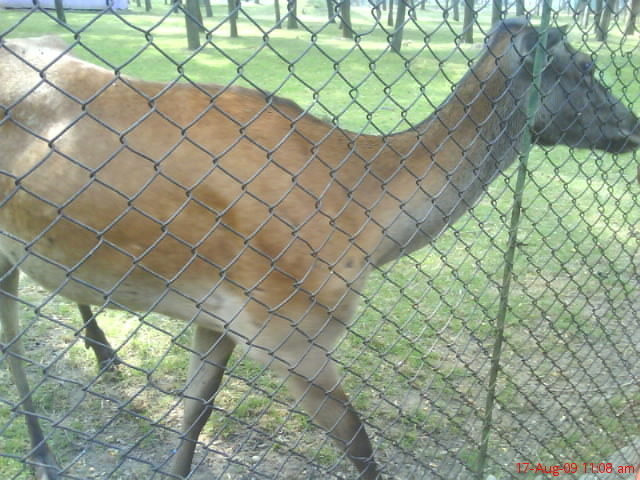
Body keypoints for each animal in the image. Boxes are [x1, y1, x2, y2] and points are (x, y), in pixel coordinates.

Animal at [0, 16, 636, 478]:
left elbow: (196, 413)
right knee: (12, 339)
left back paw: (105, 357)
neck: (365, 224)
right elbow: (360, 448)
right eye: (585, 66)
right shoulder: (290, 327)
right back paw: (44, 451)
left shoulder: (219, 314)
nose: (632, 124)